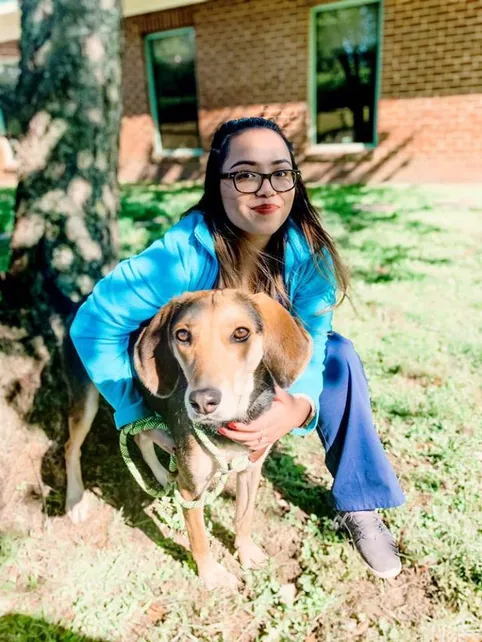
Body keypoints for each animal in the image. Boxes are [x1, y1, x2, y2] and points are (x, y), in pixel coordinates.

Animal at [65, 290, 312, 592]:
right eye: (182, 335)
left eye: (241, 333)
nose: (202, 402)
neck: (227, 426)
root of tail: (76, 303)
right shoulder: (190, 491)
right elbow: (201, 539)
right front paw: (212, 575)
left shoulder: (251, 468)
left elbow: (244, 517)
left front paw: (246, 551)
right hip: (87, 402)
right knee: (71, 447)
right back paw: (75, 500)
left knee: (142, 437)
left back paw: (162, 475)